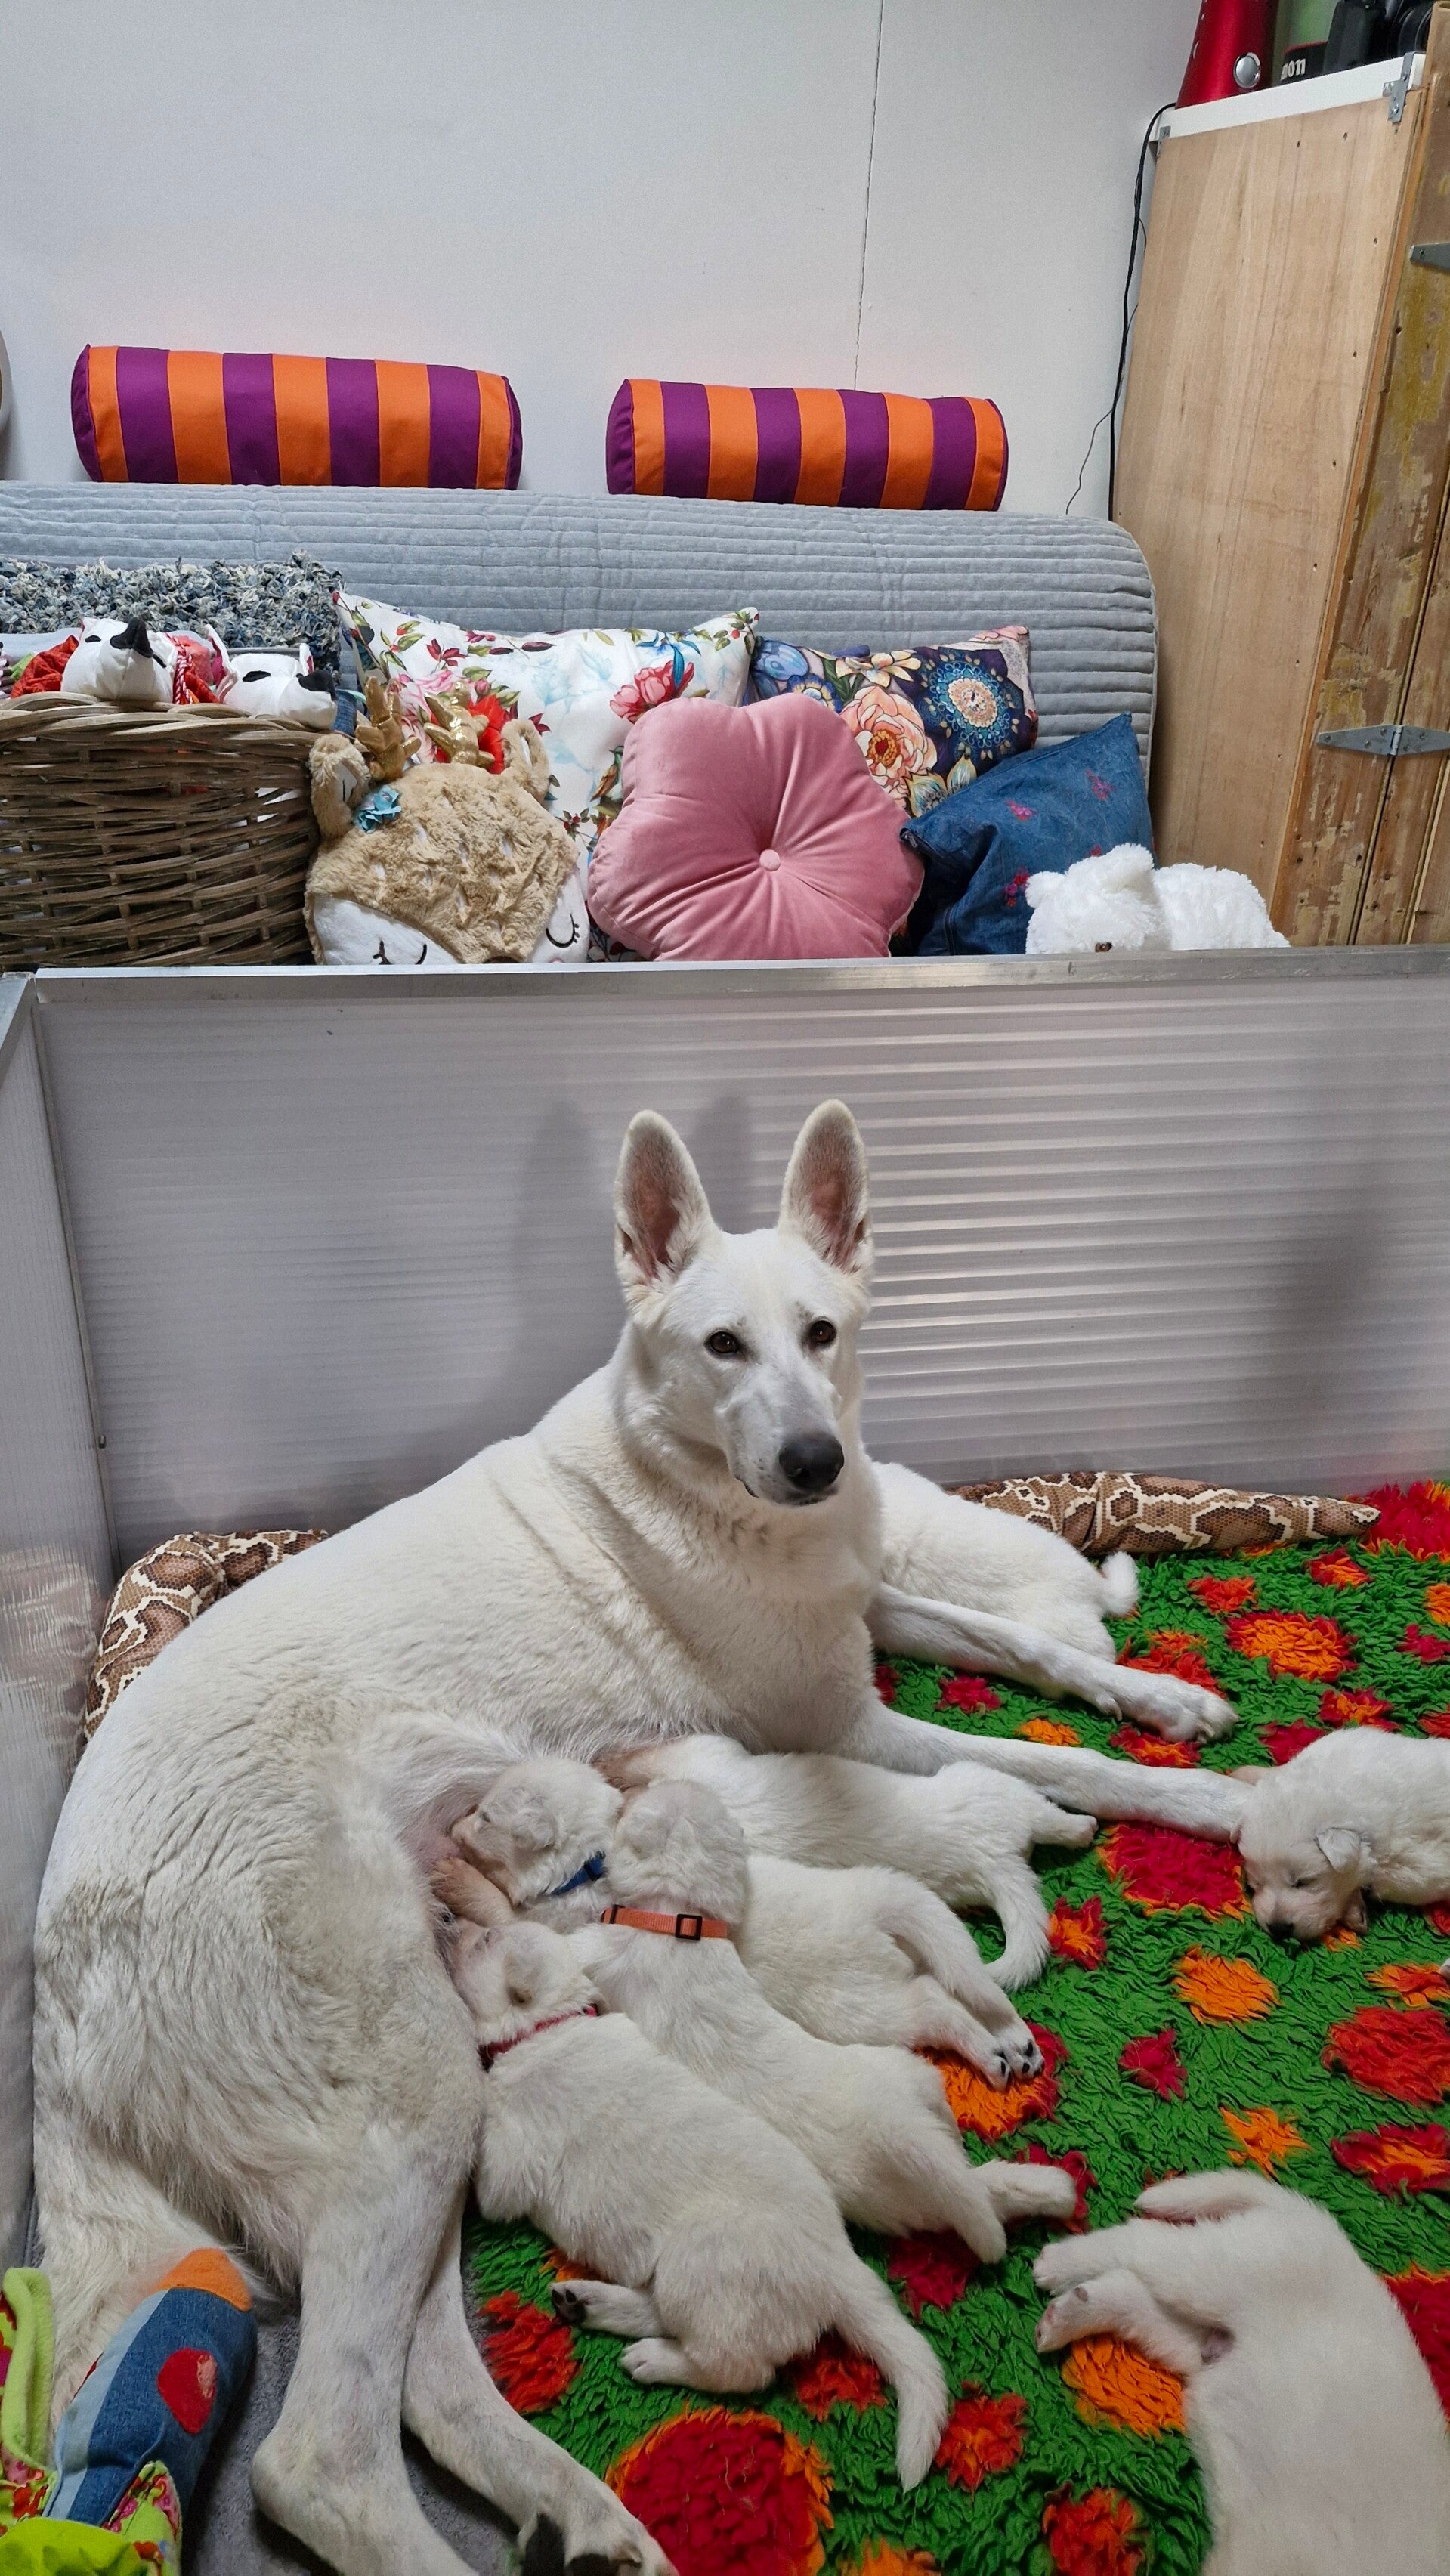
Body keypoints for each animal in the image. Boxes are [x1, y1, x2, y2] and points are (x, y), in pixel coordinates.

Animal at [442, 1754, 1042, 2082]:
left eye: (486, 1815)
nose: (449, 1826)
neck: (590, 1862)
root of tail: (881, 1903)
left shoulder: (559, 1928)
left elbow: (500, 1907)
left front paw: (451, 1874)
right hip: (925, 1949)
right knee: (970, 1982)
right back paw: (1012, 2044)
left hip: (859, 2004)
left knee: (933, 2001)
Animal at [450, 1919, 949, 2487]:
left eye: (486, 1941)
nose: (450, 1922)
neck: (549, 2025)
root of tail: (838, 2266)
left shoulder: (508, 2170)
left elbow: (486, 2157)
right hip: (683, 2276)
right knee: (665, 2315)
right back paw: (587, 2303)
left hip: (702, 2262)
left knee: (737, 2369)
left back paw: (652, 2359)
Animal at [1034, 2171, 1450, 2575]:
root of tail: (1314, 2219)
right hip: (1214, 2272)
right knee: (1142, 2239)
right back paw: (1058, 2262)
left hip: (1189, 2335)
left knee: (1130, 2292)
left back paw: (1064, 2316)